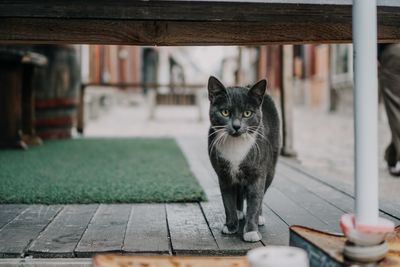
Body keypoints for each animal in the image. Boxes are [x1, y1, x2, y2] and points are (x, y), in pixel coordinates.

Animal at [208, 76, 280, 243]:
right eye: (225, 112)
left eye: (247, 113)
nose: (236, 126)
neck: (236, 146)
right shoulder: (223, 175)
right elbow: (227, 201)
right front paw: (230, 226)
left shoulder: (258, 173)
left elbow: (255, 200)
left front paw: (251, 231)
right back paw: (239, 212)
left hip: (271, 167)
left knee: (262, 193)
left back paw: (259, 217)